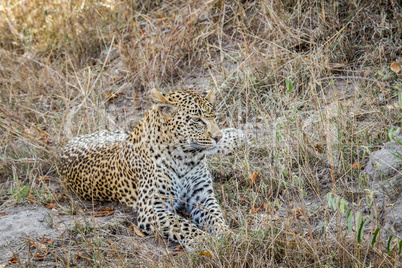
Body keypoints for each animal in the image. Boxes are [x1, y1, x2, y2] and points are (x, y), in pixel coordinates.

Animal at [58, 89, 243, 248]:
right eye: (197, 120)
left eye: (214, 117)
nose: (218, 137)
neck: (186, 158)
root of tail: (68, 142)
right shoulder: (153, 208)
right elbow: (184, 225)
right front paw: (204, 241)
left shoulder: (202, 196)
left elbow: (216, 218)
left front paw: (229, 236)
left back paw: (234, 135)